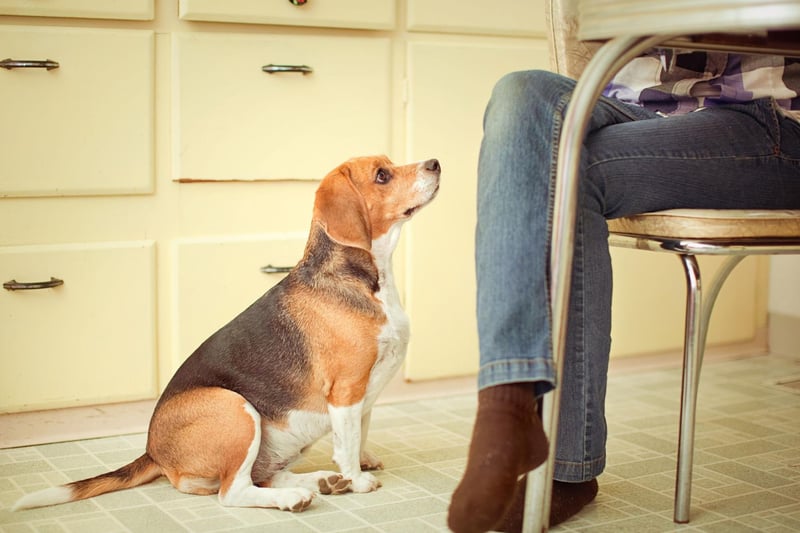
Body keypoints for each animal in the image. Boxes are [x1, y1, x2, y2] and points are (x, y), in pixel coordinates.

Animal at [14, 156, 438, 512]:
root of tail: (153, 452)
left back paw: (321, 481)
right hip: (235, 408)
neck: (369, 280)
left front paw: (360, 465)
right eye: (382, 175)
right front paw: (358, 478)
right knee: (232, 492)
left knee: (259, 478)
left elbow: (359, 434)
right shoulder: (347, 388)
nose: (434, 162)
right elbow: (347, 442)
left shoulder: (364, 395)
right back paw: (298, 495)